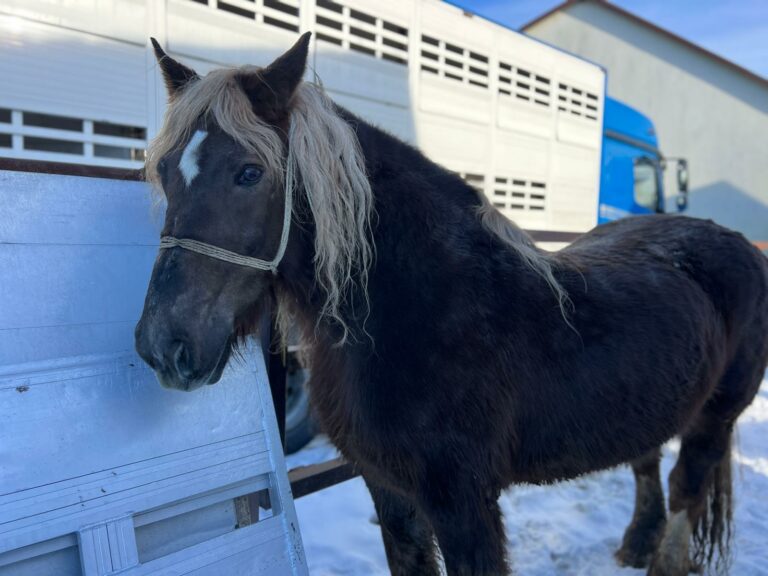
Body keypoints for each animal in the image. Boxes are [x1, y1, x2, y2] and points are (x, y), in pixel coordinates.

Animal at [135, 33, 768, 576]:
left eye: (249, 173)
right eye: (164, 170)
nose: (164, 345)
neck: (415, 310)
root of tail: (739, 244)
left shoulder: (463, 502)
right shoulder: (388, 490)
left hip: (715, 417)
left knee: (687, 489)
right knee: (647, 465)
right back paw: (635, 545)